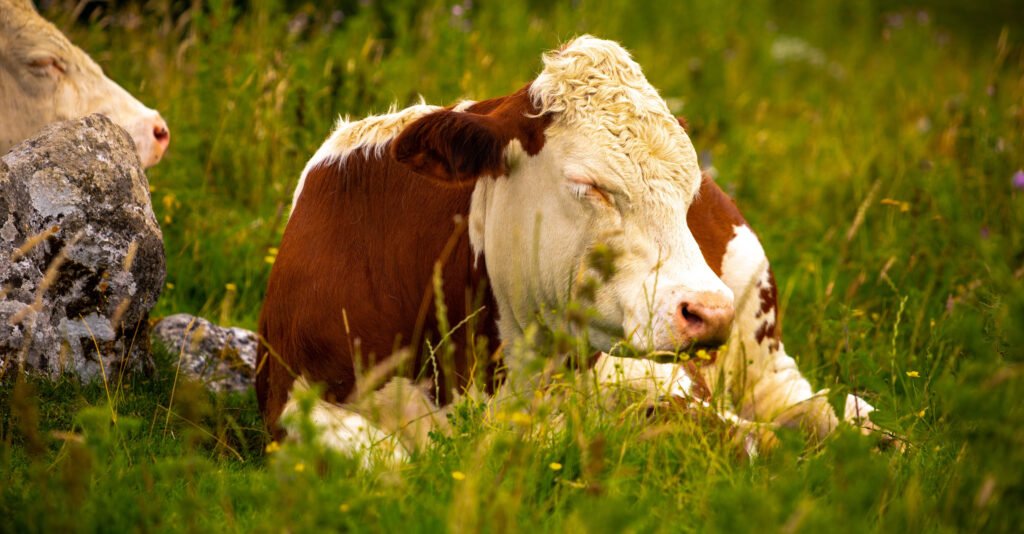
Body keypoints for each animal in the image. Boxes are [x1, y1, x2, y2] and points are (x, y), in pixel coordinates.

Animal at [257, 36, 880, 462]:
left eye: (687, 190)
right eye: (590, 184)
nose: (710, 311)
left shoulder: (657, 380)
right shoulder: (290, 399)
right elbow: (386, 461)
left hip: (761, 342)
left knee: (818, 409)